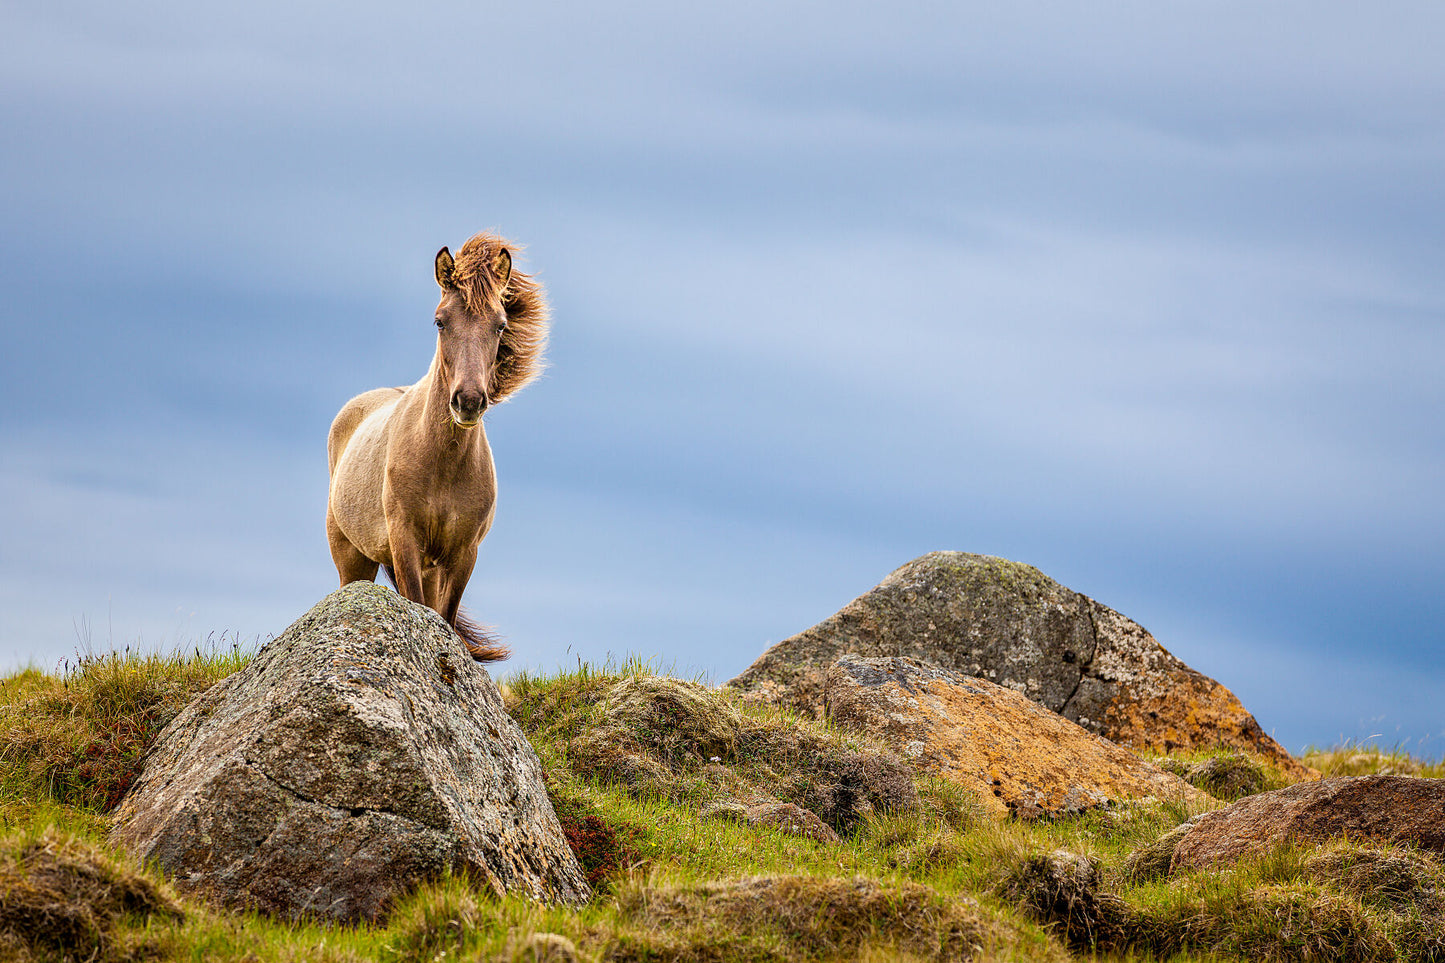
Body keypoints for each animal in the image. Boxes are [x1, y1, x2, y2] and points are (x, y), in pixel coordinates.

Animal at [326, 231, 546, 659]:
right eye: (440, 321)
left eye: (500, 325)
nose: (469, 401)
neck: (441, 463)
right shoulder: (405, 543)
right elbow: (419, 608)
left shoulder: (462, 554)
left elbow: (443, 615)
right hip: (352, 559)